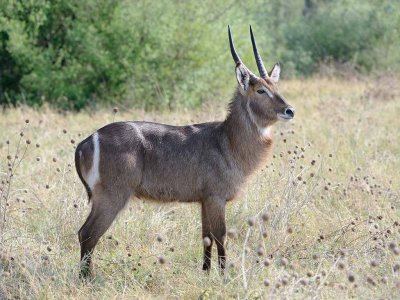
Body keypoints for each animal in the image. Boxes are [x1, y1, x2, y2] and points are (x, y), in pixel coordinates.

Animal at [75, 26, 294, 278]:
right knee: (87, 233)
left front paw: (206, 273)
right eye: (260, 90)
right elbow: (220, 237)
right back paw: (87, 278)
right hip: (112, 195)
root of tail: (87, 141)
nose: (290, 110)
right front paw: (223, 276)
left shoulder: (204, 200)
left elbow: (206, 237)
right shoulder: (216, 197)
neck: (227, 141)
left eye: (276, 87)